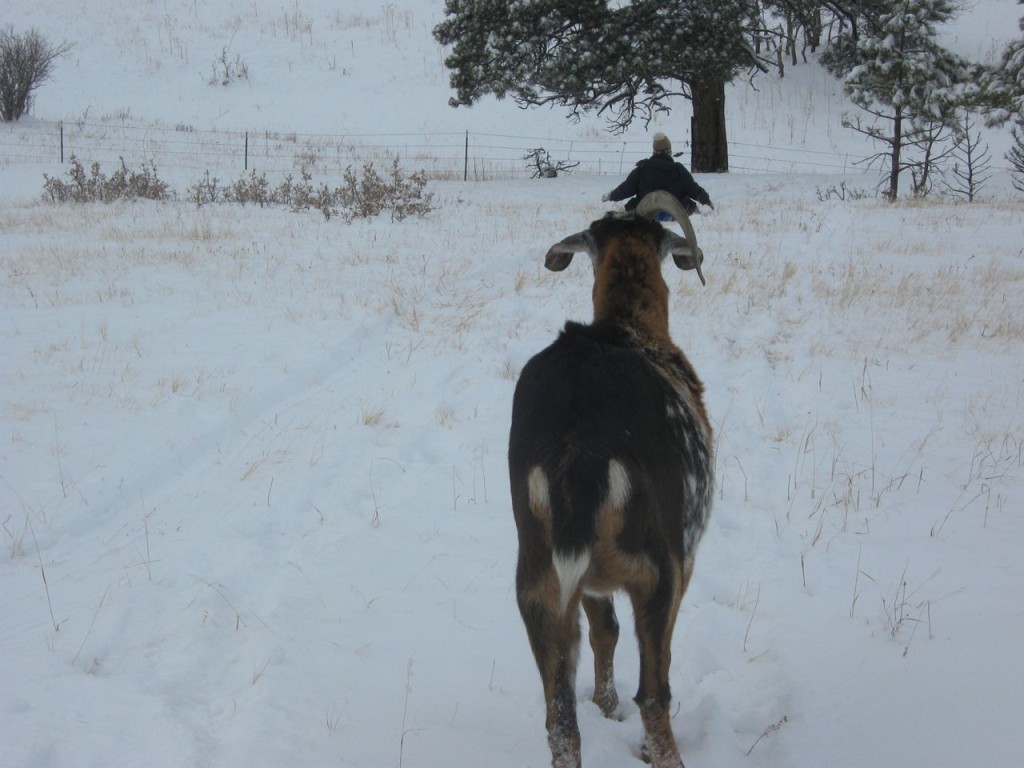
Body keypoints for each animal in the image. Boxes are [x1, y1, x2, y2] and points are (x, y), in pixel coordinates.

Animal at [507, 192, 716, 768]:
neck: (631, 327)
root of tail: (579, 455)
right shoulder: (684, 558)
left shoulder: (590, 582)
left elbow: (603, 632)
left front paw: (605, 703)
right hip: (656, 565)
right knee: (655, 694)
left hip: (537, 575)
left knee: (559, 717)